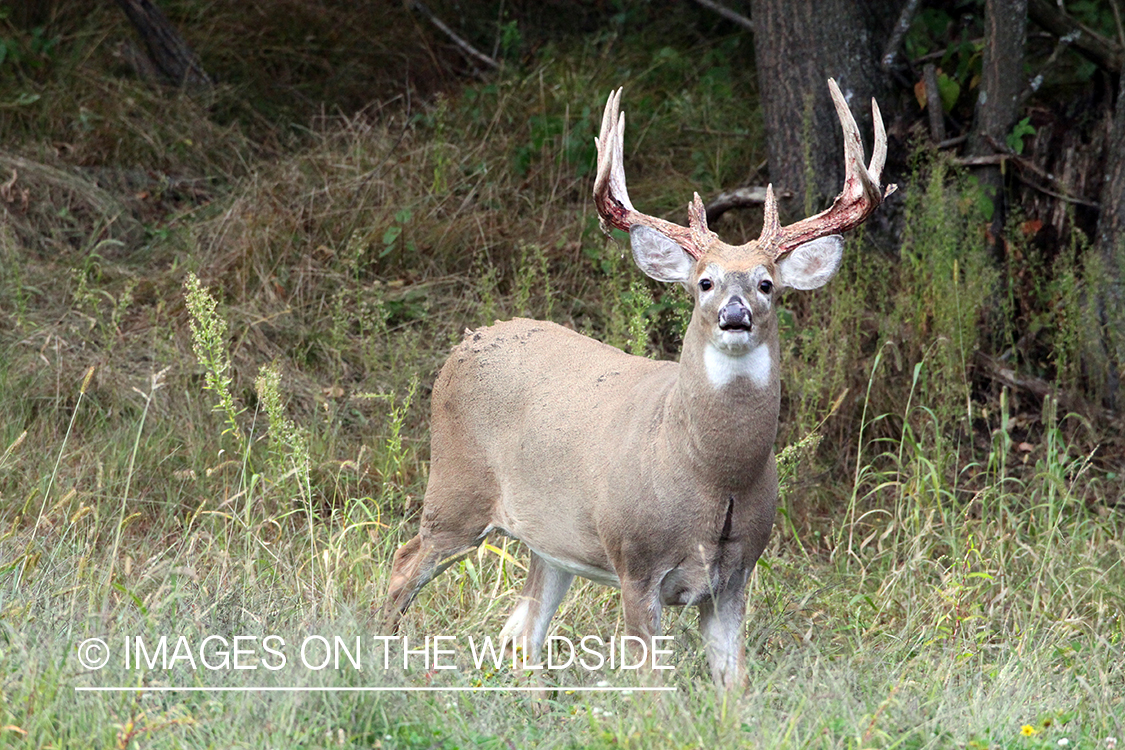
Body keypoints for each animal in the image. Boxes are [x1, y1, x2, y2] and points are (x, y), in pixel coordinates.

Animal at [382, 80, 891, 688]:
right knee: (403, 565)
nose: (736, 314)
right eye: (704, 282)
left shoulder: (736, 574)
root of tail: (467, 341)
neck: (711, 474)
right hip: (455, 491)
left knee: (521, 628)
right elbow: (651, 684)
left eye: (767, 283)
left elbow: (735, 685)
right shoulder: (636, 561)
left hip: (550, 537)